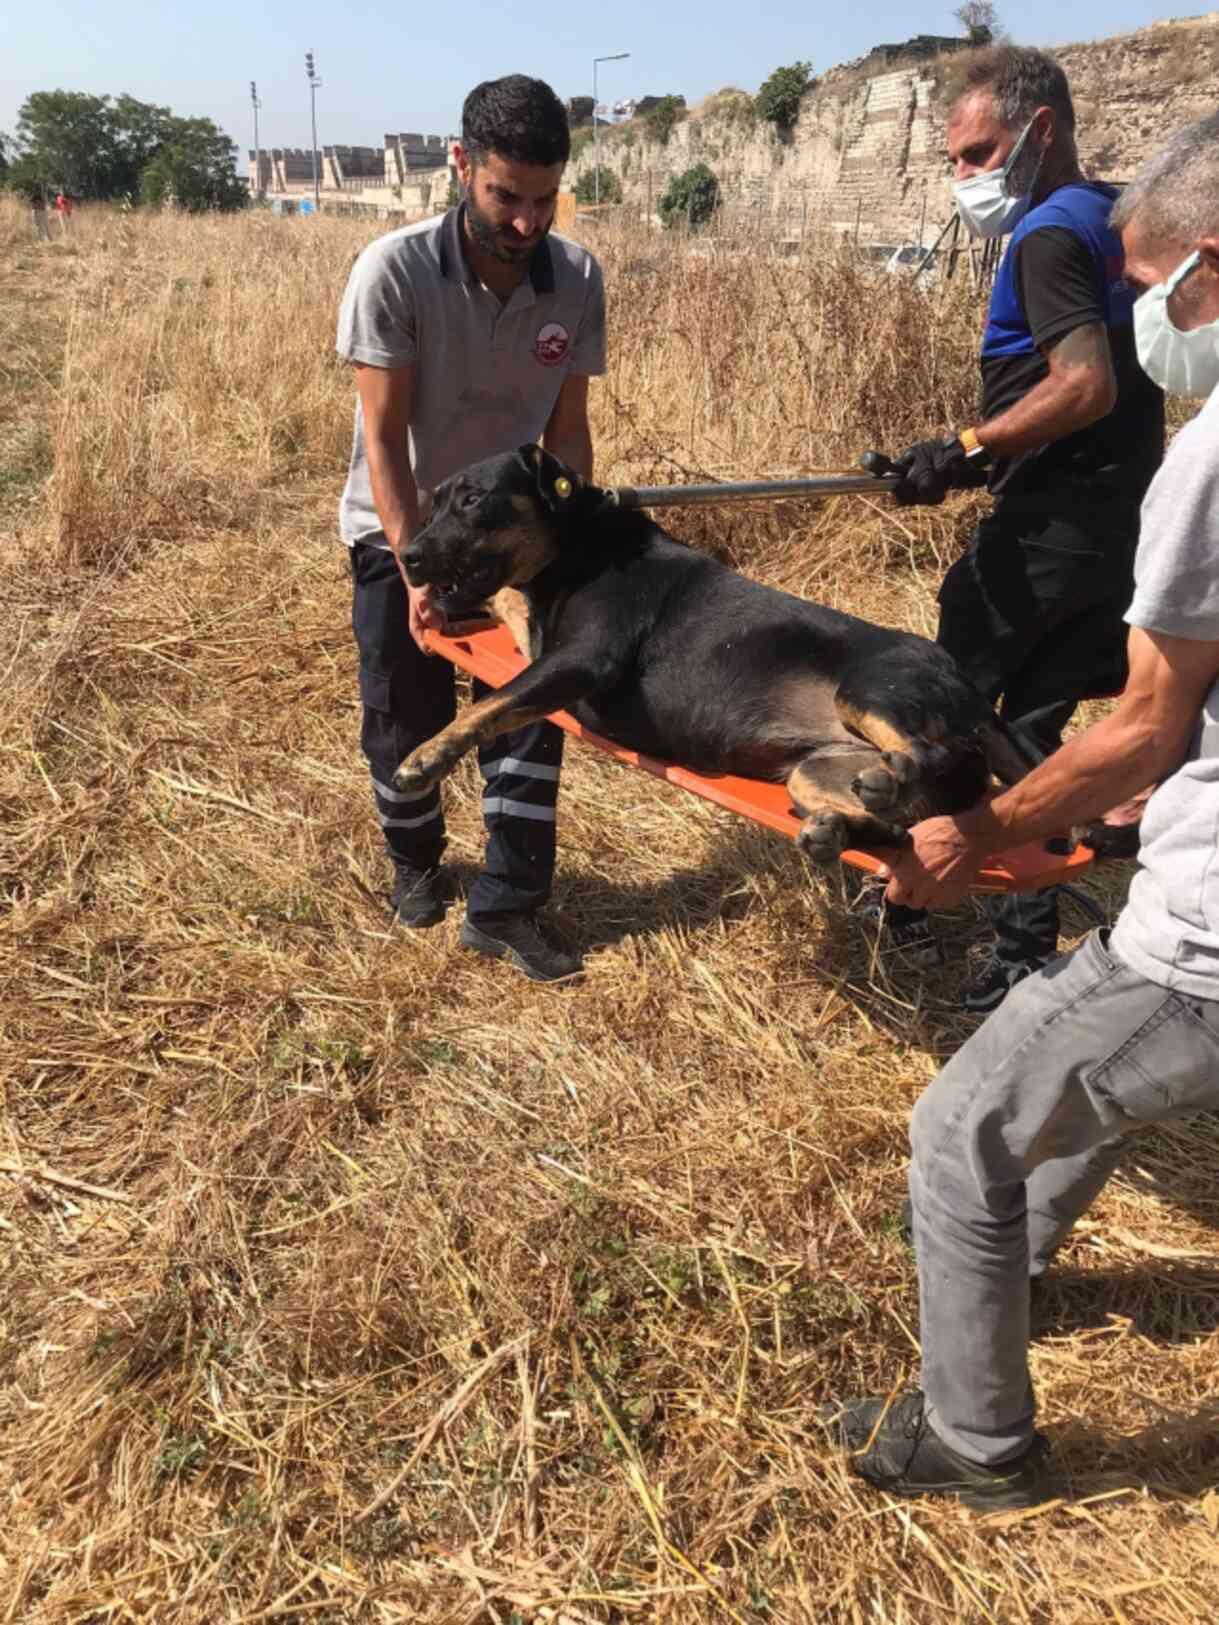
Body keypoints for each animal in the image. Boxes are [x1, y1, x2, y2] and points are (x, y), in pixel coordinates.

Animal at [393, 438, 1040, 858]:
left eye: (473, 499)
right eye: (436, 500)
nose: (409, 556)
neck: (575, 545)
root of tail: (970, 694)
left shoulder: (582, 659)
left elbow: (493, 701)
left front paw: (425, 757)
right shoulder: (536, 636)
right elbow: (504, 613)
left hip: (870, 691)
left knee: (942, 755)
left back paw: (893, 777)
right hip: (815, 772)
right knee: (904, 827)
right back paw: (840, 829)